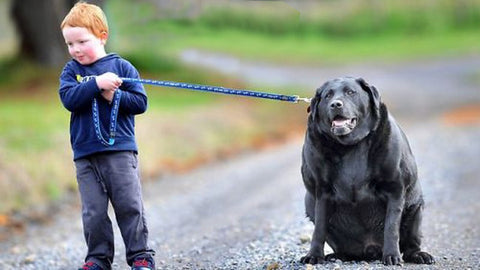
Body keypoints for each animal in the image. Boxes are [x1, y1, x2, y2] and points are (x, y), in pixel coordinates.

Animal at [304, 76, 436, 266]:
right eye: (328, 95)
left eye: (350, 92)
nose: (336, 104)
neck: (350, 146)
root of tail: (369, 250)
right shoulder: (321, 191)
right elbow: (319, 229)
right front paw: (314, 255)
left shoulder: (395, 188)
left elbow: (391, 227)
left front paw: (392, 256)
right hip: (309, 205)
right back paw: (338, 255)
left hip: (415, 208)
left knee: (411, 243)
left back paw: (419, 255)